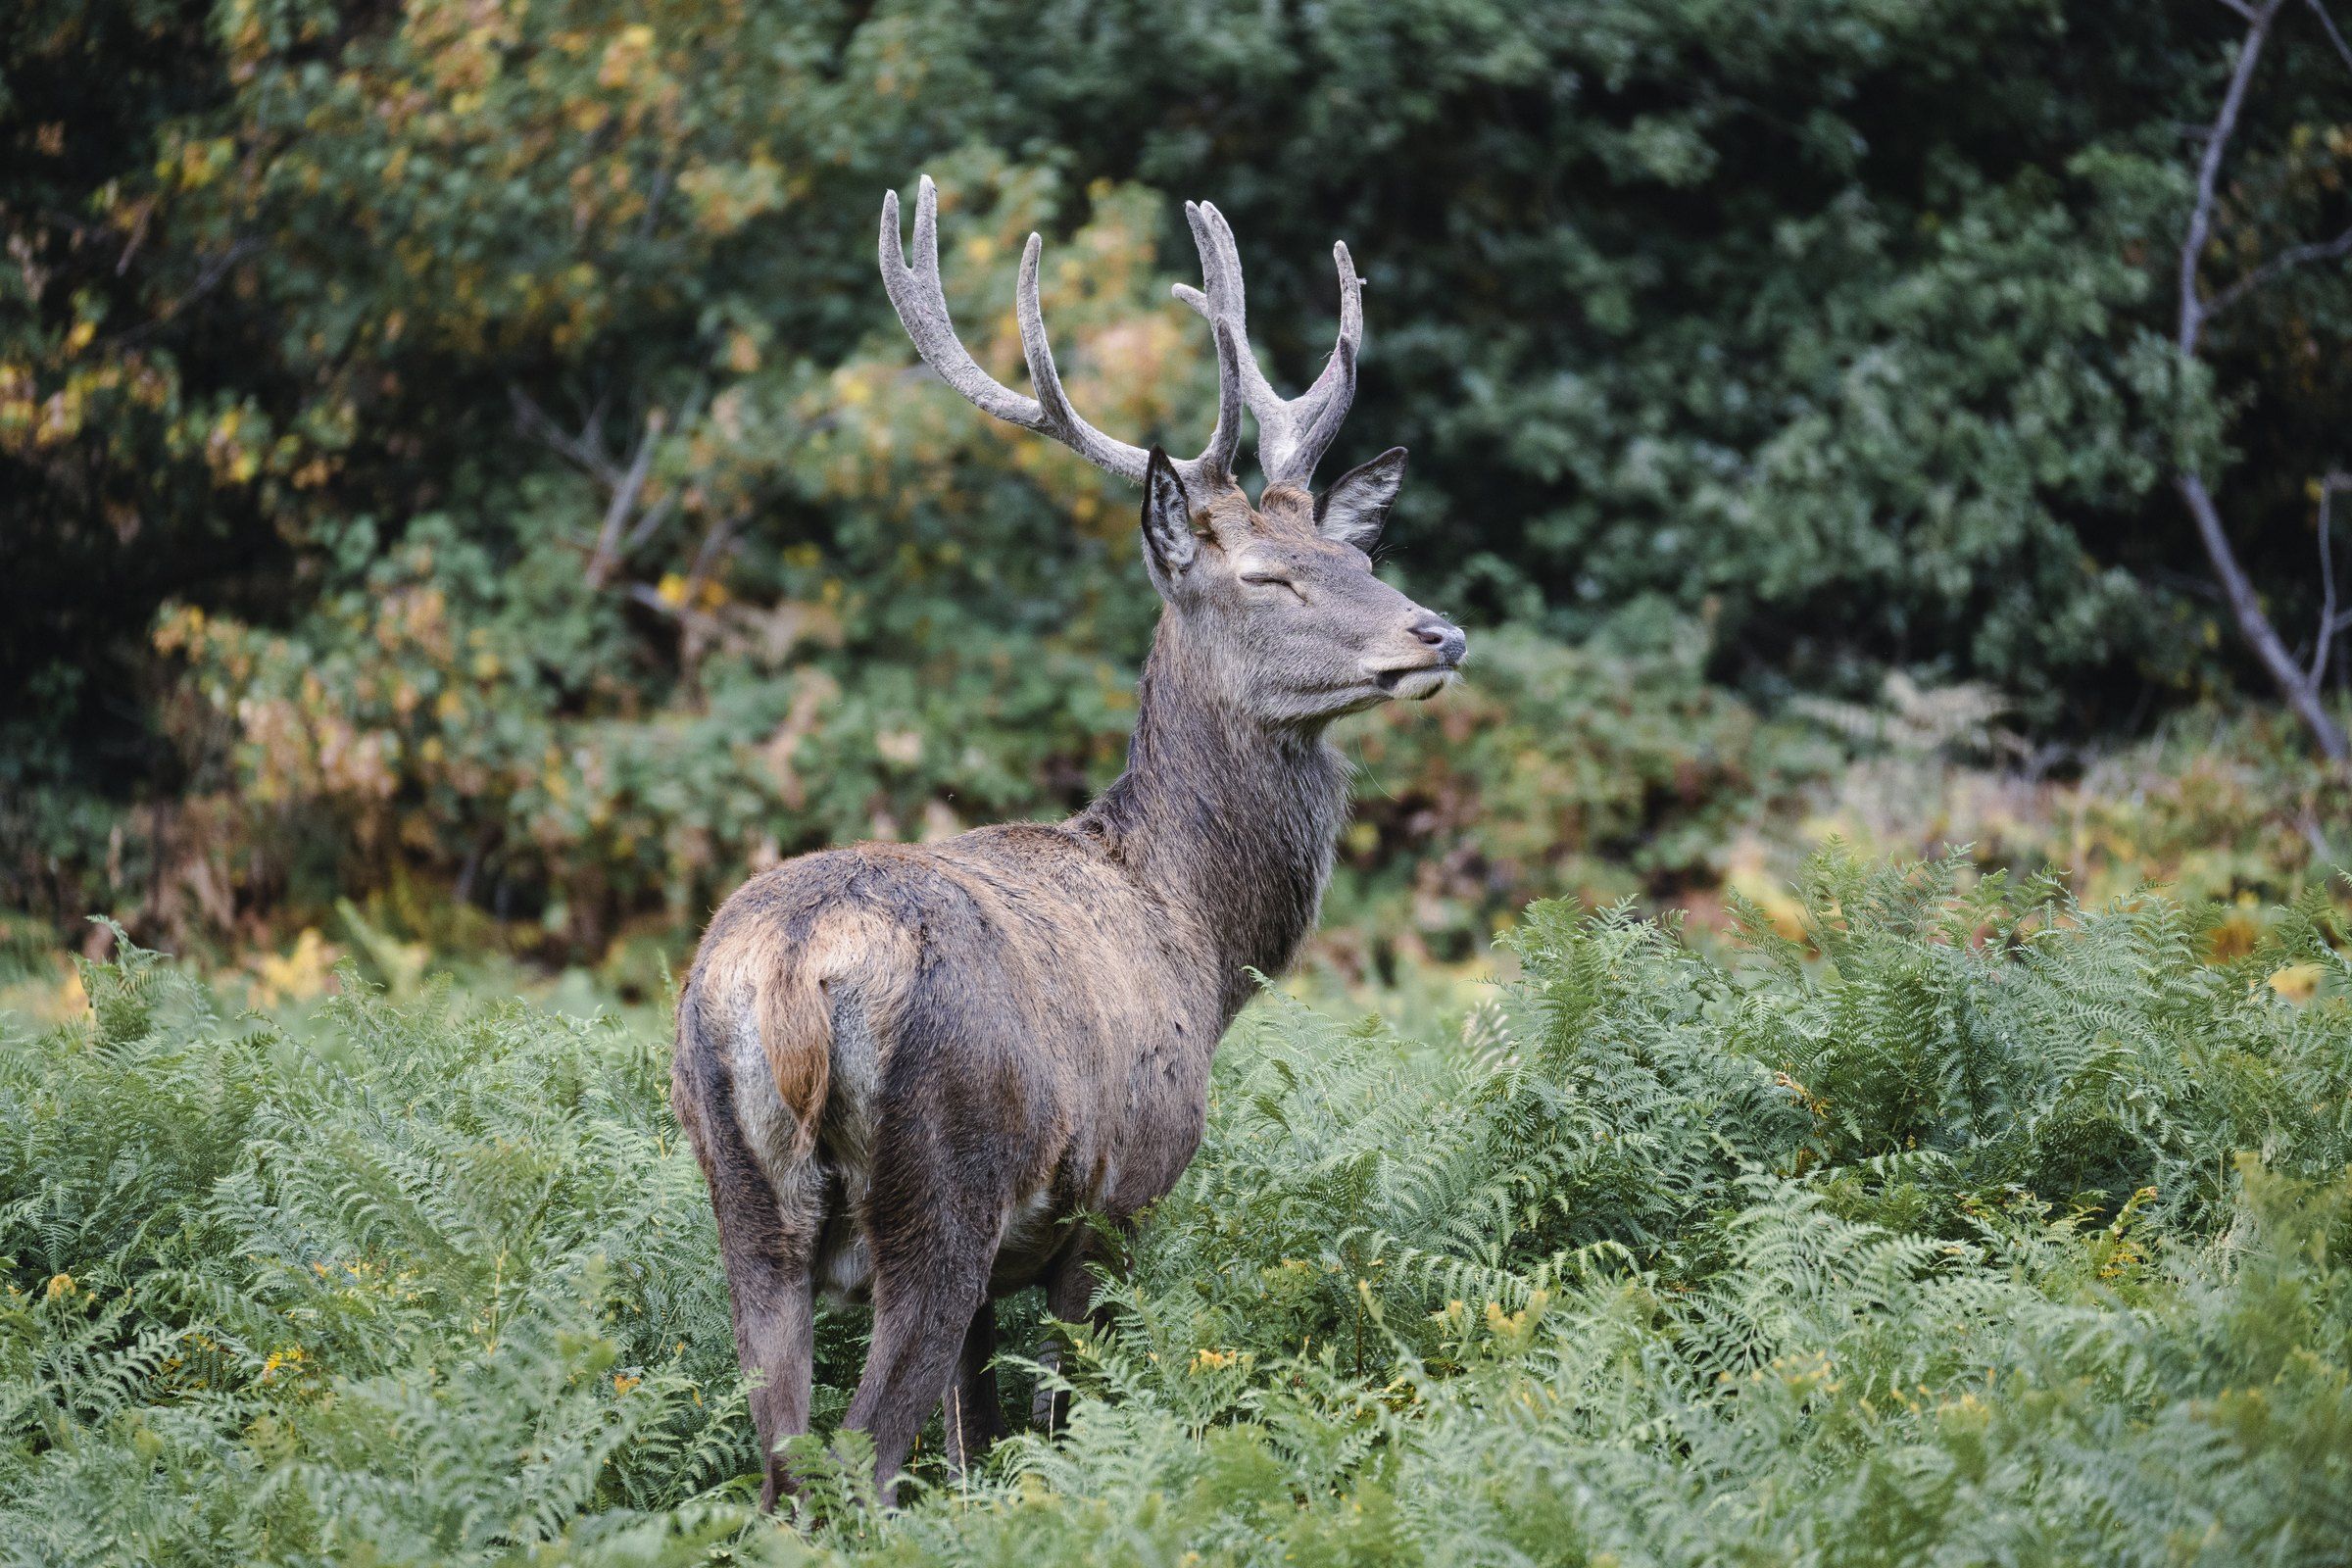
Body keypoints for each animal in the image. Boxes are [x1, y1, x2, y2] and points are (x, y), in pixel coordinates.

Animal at [669, 176, 1466, 1508]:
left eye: (1355, 551)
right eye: (1266, 577)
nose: (1437, 632)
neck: (1196, 932)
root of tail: (786, 974)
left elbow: (976, 1440)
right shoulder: (1117, 1198)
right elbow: (1054, 1420)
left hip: (743, 1201)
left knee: (784, 1467)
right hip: (943, 1185)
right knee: (859, 1461)